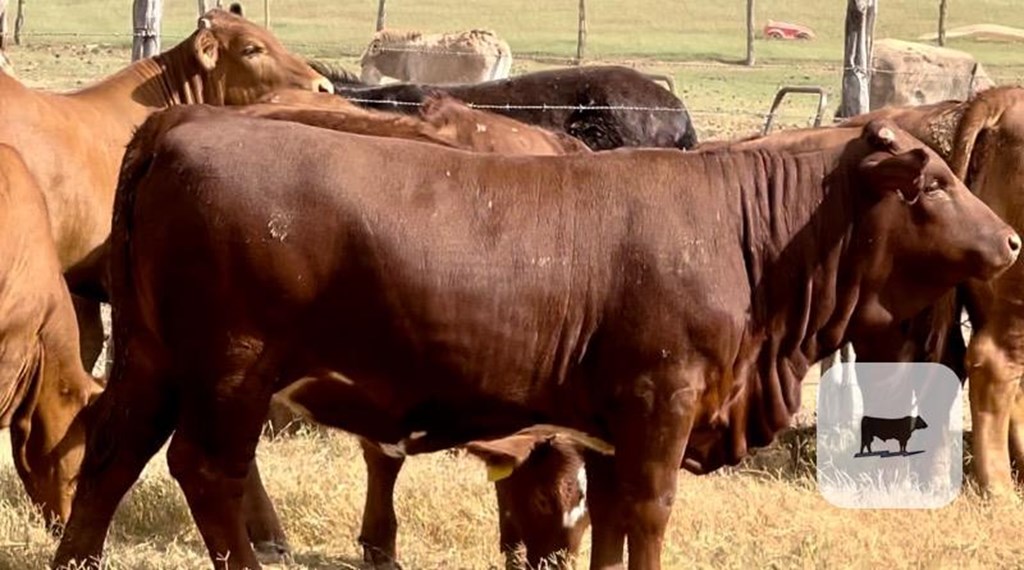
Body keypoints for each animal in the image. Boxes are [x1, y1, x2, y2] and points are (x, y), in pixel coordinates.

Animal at [56, 106, 1015, 568]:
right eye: (931, 183)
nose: (1010, 240)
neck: (744, 234)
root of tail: (183, 124)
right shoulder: (660, 405)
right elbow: (649, 518)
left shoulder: (609, 429)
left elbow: (611, 527)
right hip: (232, 370)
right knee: (204, 471)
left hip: (152, 359)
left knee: (111, 458)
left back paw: (78, 561)